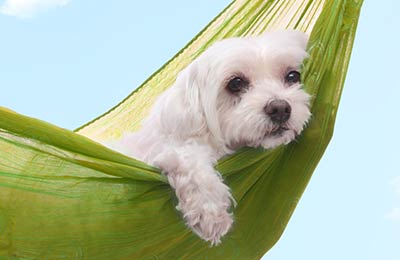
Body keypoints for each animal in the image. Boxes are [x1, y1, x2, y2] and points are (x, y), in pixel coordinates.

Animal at [112, 30, 312, 246]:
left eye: (293, 76)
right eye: (236, 83)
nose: (280, 109)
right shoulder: (166, 150)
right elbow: (187, 160)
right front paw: (210, 211)